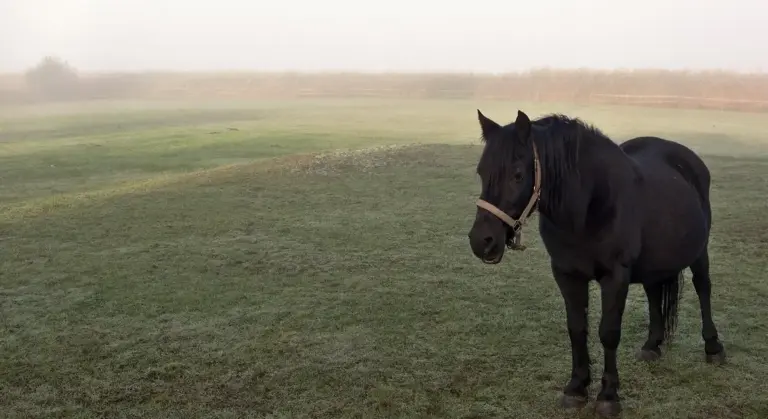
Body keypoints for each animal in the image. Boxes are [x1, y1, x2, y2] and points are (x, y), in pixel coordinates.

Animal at [466, 109, 726, 417]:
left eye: (517, 175)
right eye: (481, 172)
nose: (481, 241)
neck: (589, 206)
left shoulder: (615, 277)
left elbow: (608, 332)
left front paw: (608, 396)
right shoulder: (566, 274)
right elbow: (577, 329)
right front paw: (576, 388)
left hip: (700, 252)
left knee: (703, 288)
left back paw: (713, 347)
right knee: (654, 293)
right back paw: (652, 345)